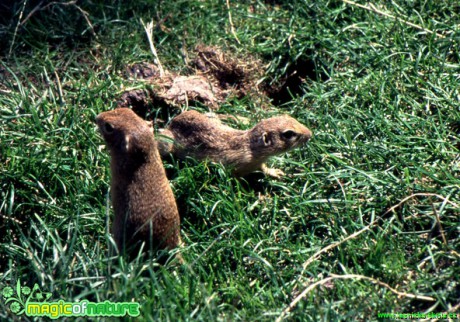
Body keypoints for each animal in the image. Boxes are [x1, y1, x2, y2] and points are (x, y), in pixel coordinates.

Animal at [158, 109, 312, 177]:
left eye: (291, 117)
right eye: (289, 134)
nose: (310, 134)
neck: (251, 147)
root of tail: (174, 121)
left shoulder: (258, 162)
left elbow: (264, 168)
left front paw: (276, 172)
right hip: (168, 143)